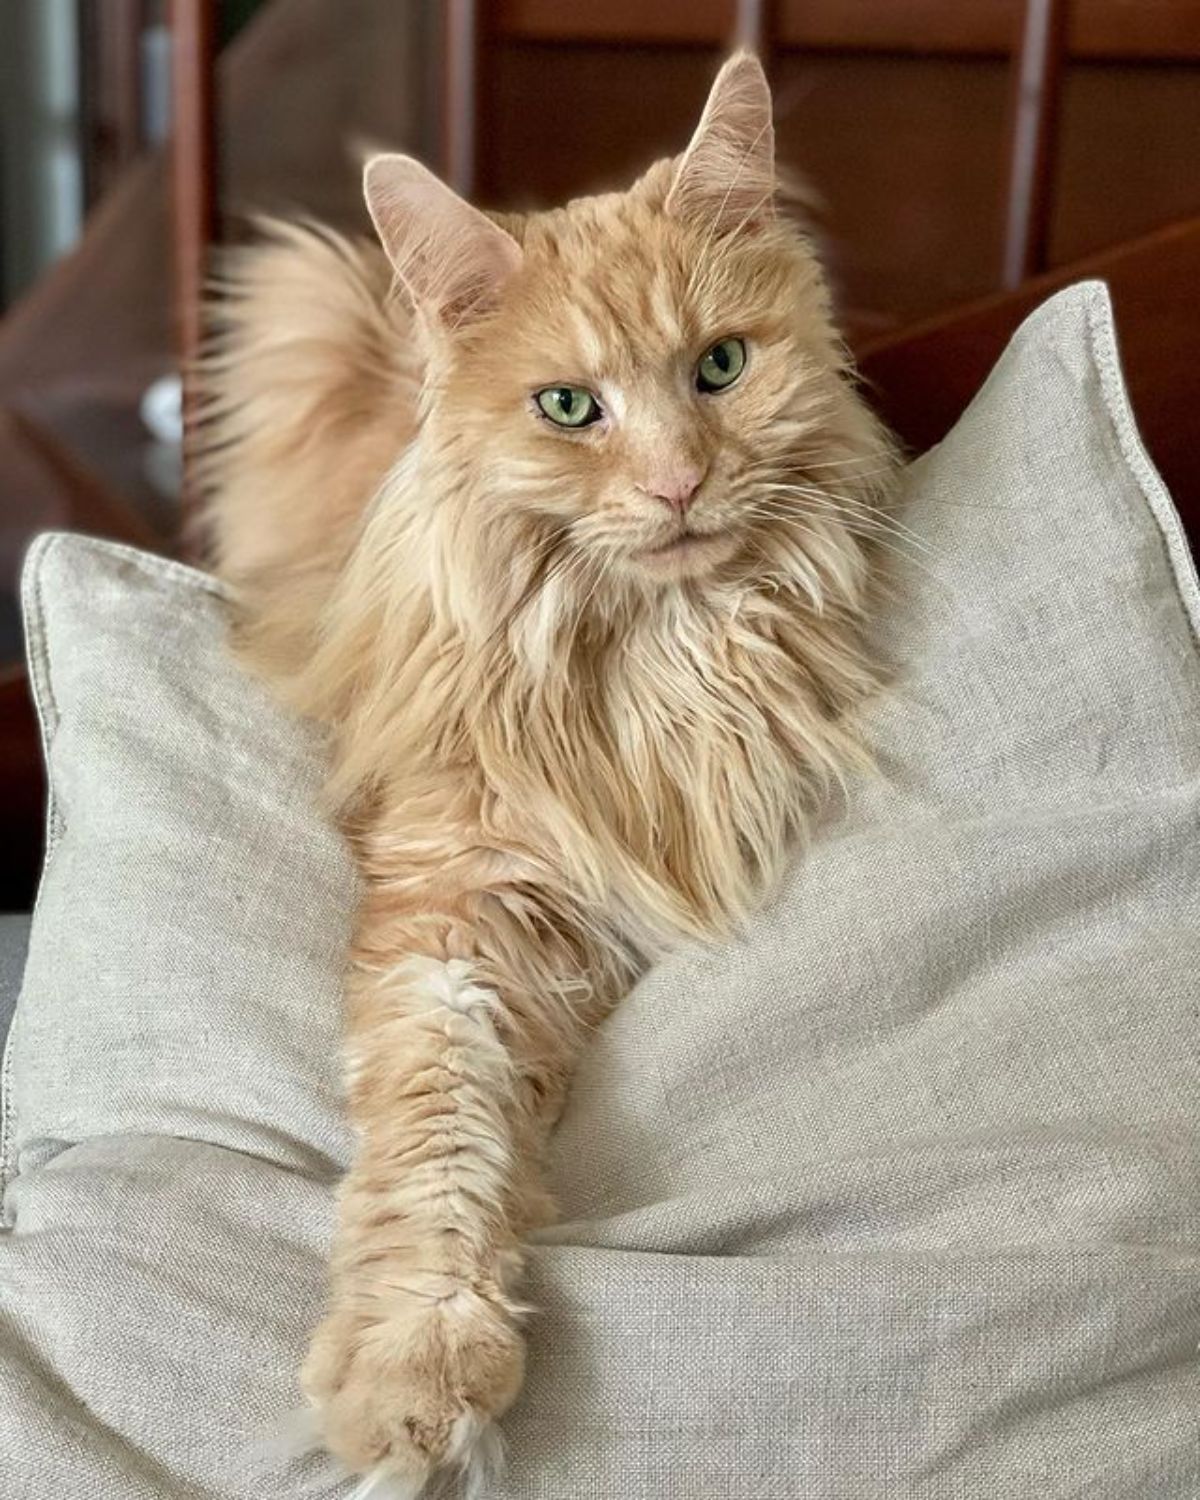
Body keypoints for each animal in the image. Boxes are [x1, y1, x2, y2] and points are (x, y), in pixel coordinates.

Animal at [207, 52, 894, 1494]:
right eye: (570, 407)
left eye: (720, 367)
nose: (680, 483)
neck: (646, 651)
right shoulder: (455, 903)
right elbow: (439, 1137)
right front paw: (415, 1377)